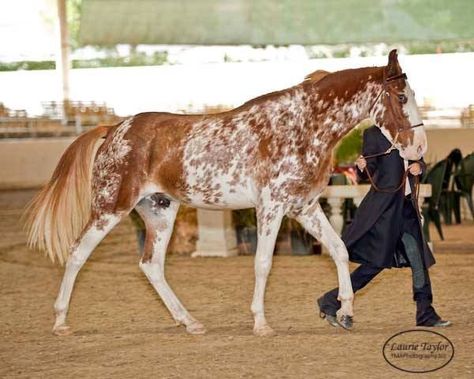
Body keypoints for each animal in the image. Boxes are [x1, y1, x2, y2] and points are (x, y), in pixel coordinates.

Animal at [25, 49, 426, 336]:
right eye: (400, 96)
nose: (419, 148)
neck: (301, 126)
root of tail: (113, 129)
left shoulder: (304, 207)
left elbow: (340, 250)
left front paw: (344, 312)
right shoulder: (271, 207)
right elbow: (263, 263)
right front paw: (261, 324)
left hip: (159, 211)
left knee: (151, 266)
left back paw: (190, 322)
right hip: (110, 207)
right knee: (78, 254)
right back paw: (60, 322)